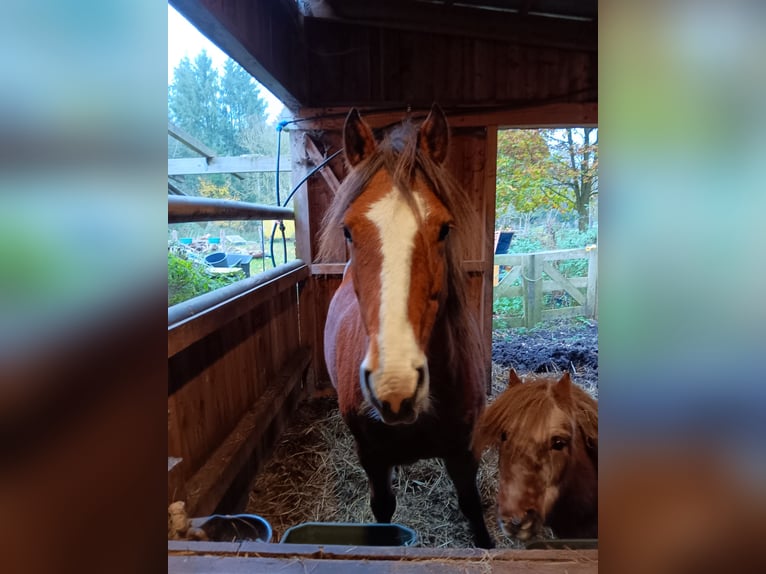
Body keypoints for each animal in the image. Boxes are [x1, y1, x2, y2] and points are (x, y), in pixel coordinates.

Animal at [320, 106, 496, 552]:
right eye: (348, 231)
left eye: (444, 228)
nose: (394, 384)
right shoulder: (372, 458)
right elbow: (383, 511)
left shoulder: (464, 452)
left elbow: (473, 507)